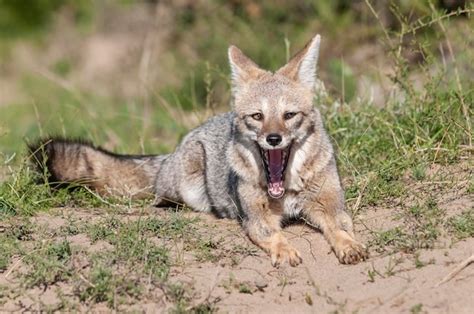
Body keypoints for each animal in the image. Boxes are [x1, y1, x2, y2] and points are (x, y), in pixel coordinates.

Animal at [29, 33, 368, 264]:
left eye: (289, 115)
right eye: (257, 117)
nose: (273, 139)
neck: (286, 189)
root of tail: (172, 152)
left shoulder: (330, 205)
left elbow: (341, 227)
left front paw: (348, 245)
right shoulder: (257, 218)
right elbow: (273, 234)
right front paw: (285, 250)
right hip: (190, 181)